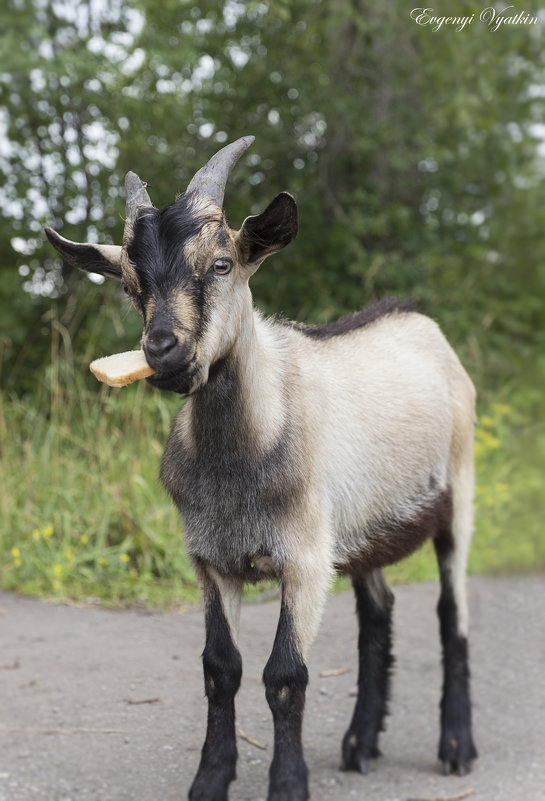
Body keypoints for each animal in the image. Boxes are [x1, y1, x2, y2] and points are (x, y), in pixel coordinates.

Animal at [45, 138, 476, 800]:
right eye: (130, 284)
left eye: (223, 265)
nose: (162, 350)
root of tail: (416, 318)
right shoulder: (210, 558)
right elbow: (220, 669)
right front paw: (210, 779)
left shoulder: (304, 558)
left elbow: (285, 676)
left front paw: (288, 784)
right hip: (360, 530)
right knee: (377, 610)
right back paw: (361, 742)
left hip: (458, 493)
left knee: (452, 613)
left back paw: (456, 746)